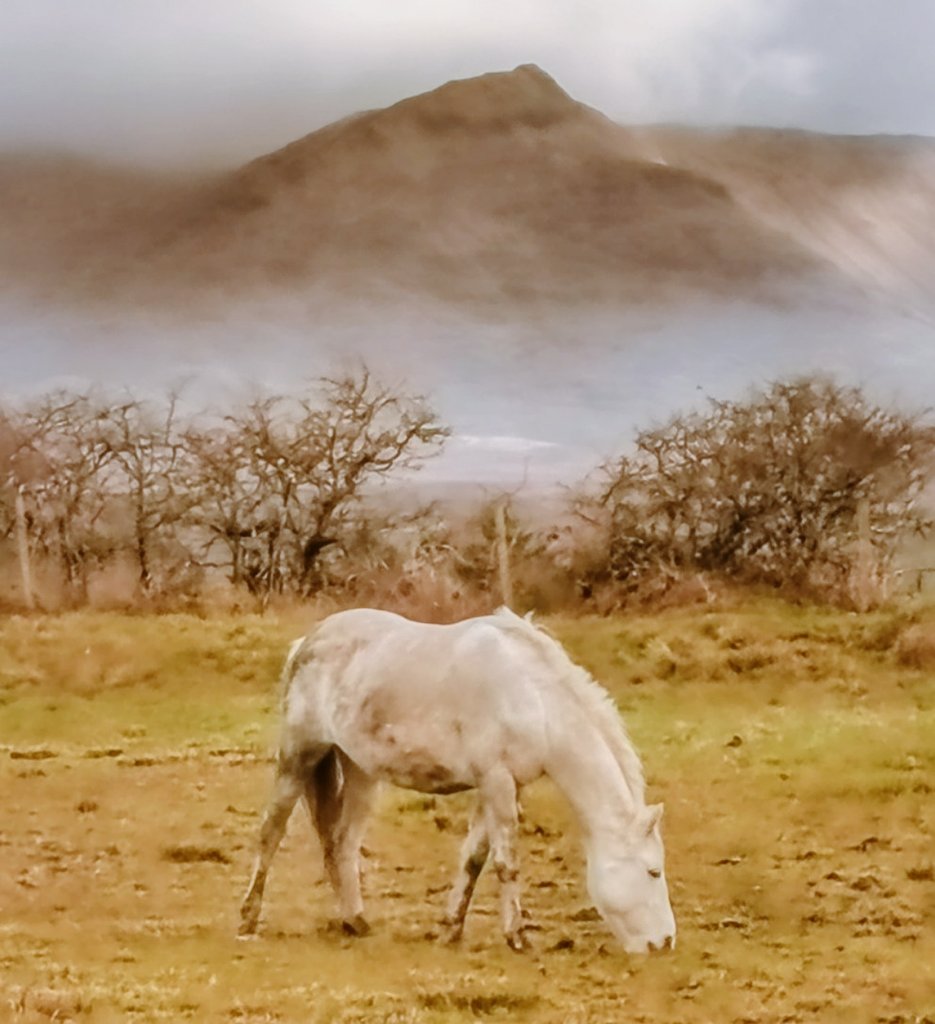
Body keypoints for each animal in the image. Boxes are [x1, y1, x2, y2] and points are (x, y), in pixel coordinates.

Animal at [239, 607, 676, 953]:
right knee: (271, 832)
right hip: (300, 754)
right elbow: (507, 863)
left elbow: (474, 858)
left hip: (361, 771)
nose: (665, 941)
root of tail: (307, 642)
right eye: (653, 871)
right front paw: (517, 936)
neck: (532, 696)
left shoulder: (501, 786)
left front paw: (451, 929)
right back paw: (248, 919)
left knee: (342, 842)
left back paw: (355, 921)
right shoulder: (497, 781)